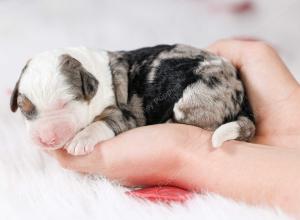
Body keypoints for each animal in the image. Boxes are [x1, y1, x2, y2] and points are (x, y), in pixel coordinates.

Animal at [9, 43, 254, 156]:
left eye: (66, 103)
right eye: (24, 108)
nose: (45, 140)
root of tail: (240, 87)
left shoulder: (126, 114)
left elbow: (102, 123)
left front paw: (81, 140)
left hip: (197, 97)